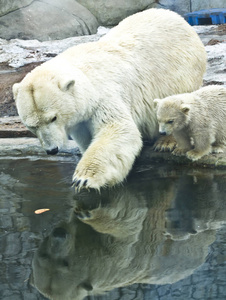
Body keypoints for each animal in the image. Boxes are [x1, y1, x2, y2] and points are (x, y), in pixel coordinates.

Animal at [12, 8, 207, 190]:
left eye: (53, 118)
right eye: (31, 125)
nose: (52, 150)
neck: (85, 76)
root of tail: (178, 18)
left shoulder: (103, 95)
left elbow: (117, 128)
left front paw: (84, 179)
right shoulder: (80, 120)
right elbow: (86, 136)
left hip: (181, 71)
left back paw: (166, 141)